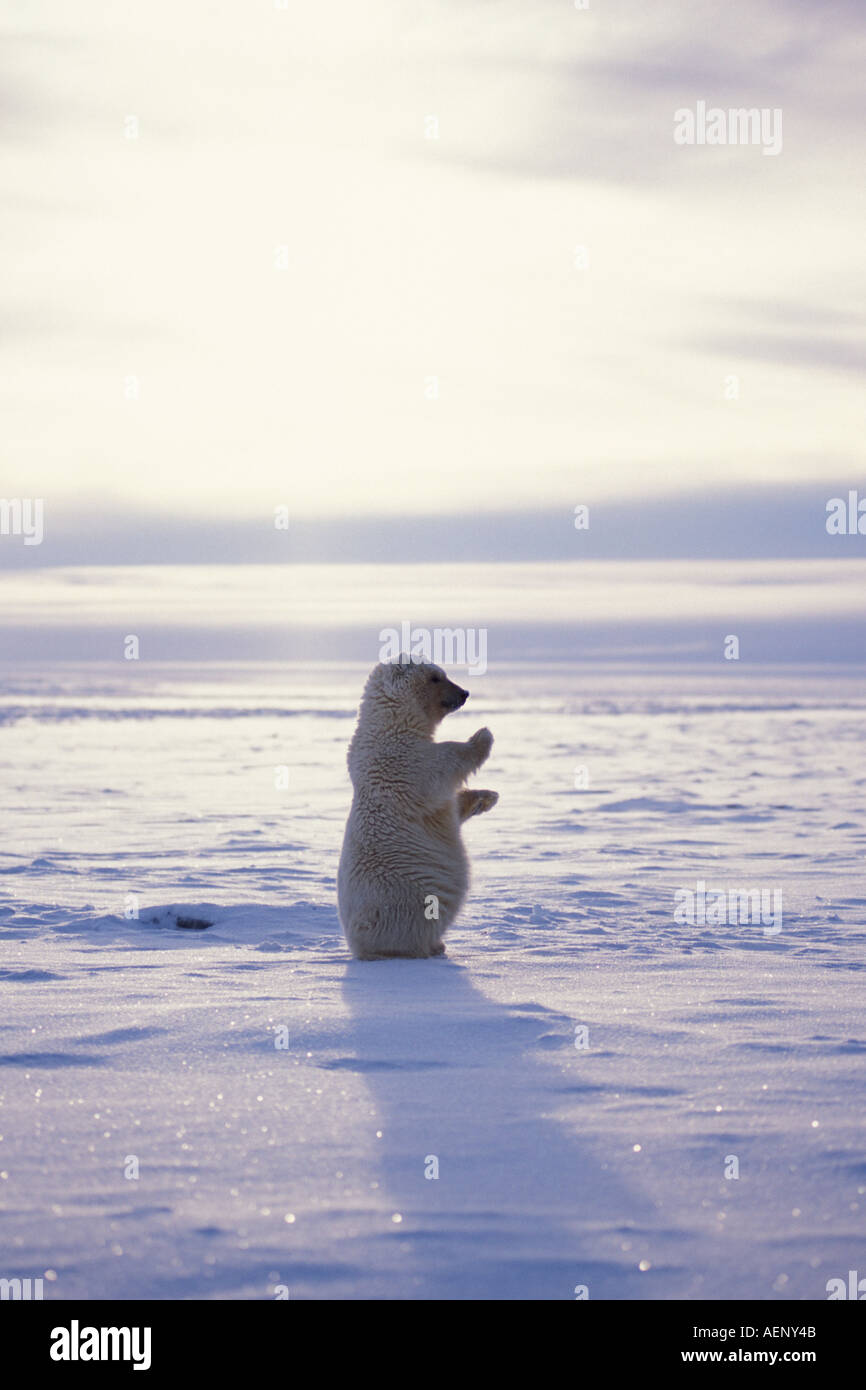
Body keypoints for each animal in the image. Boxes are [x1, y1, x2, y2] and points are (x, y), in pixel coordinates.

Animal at [337, 658, 497, 961]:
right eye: (437, 677)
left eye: (443, 674)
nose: (465, 693)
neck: (389, 723)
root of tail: (358, 945)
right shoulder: (400, 758)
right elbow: (441, 764)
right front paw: (482, 736)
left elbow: (447, 808)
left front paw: (487, 797)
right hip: (407, 900)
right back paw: (430, 947)